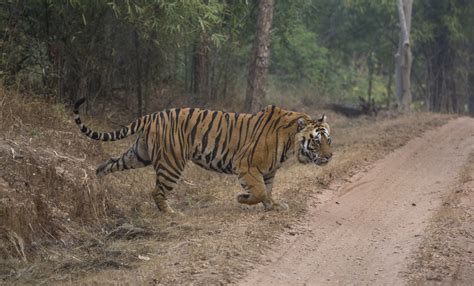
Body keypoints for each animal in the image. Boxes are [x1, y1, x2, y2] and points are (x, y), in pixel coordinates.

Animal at [74, 98, 334, 212]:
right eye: (316, 141)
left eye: (328, 140)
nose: (330, 156)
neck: (291, 142)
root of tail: (154, 114)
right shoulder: (246, 165)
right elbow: (259, 191)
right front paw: (243, 199)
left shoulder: (268, 171)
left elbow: (267, 191)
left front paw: (273, 206)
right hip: (171, 163)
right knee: (157, 191)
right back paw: (171, 213)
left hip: (139, 154)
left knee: (111, 162)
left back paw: (96, 179)